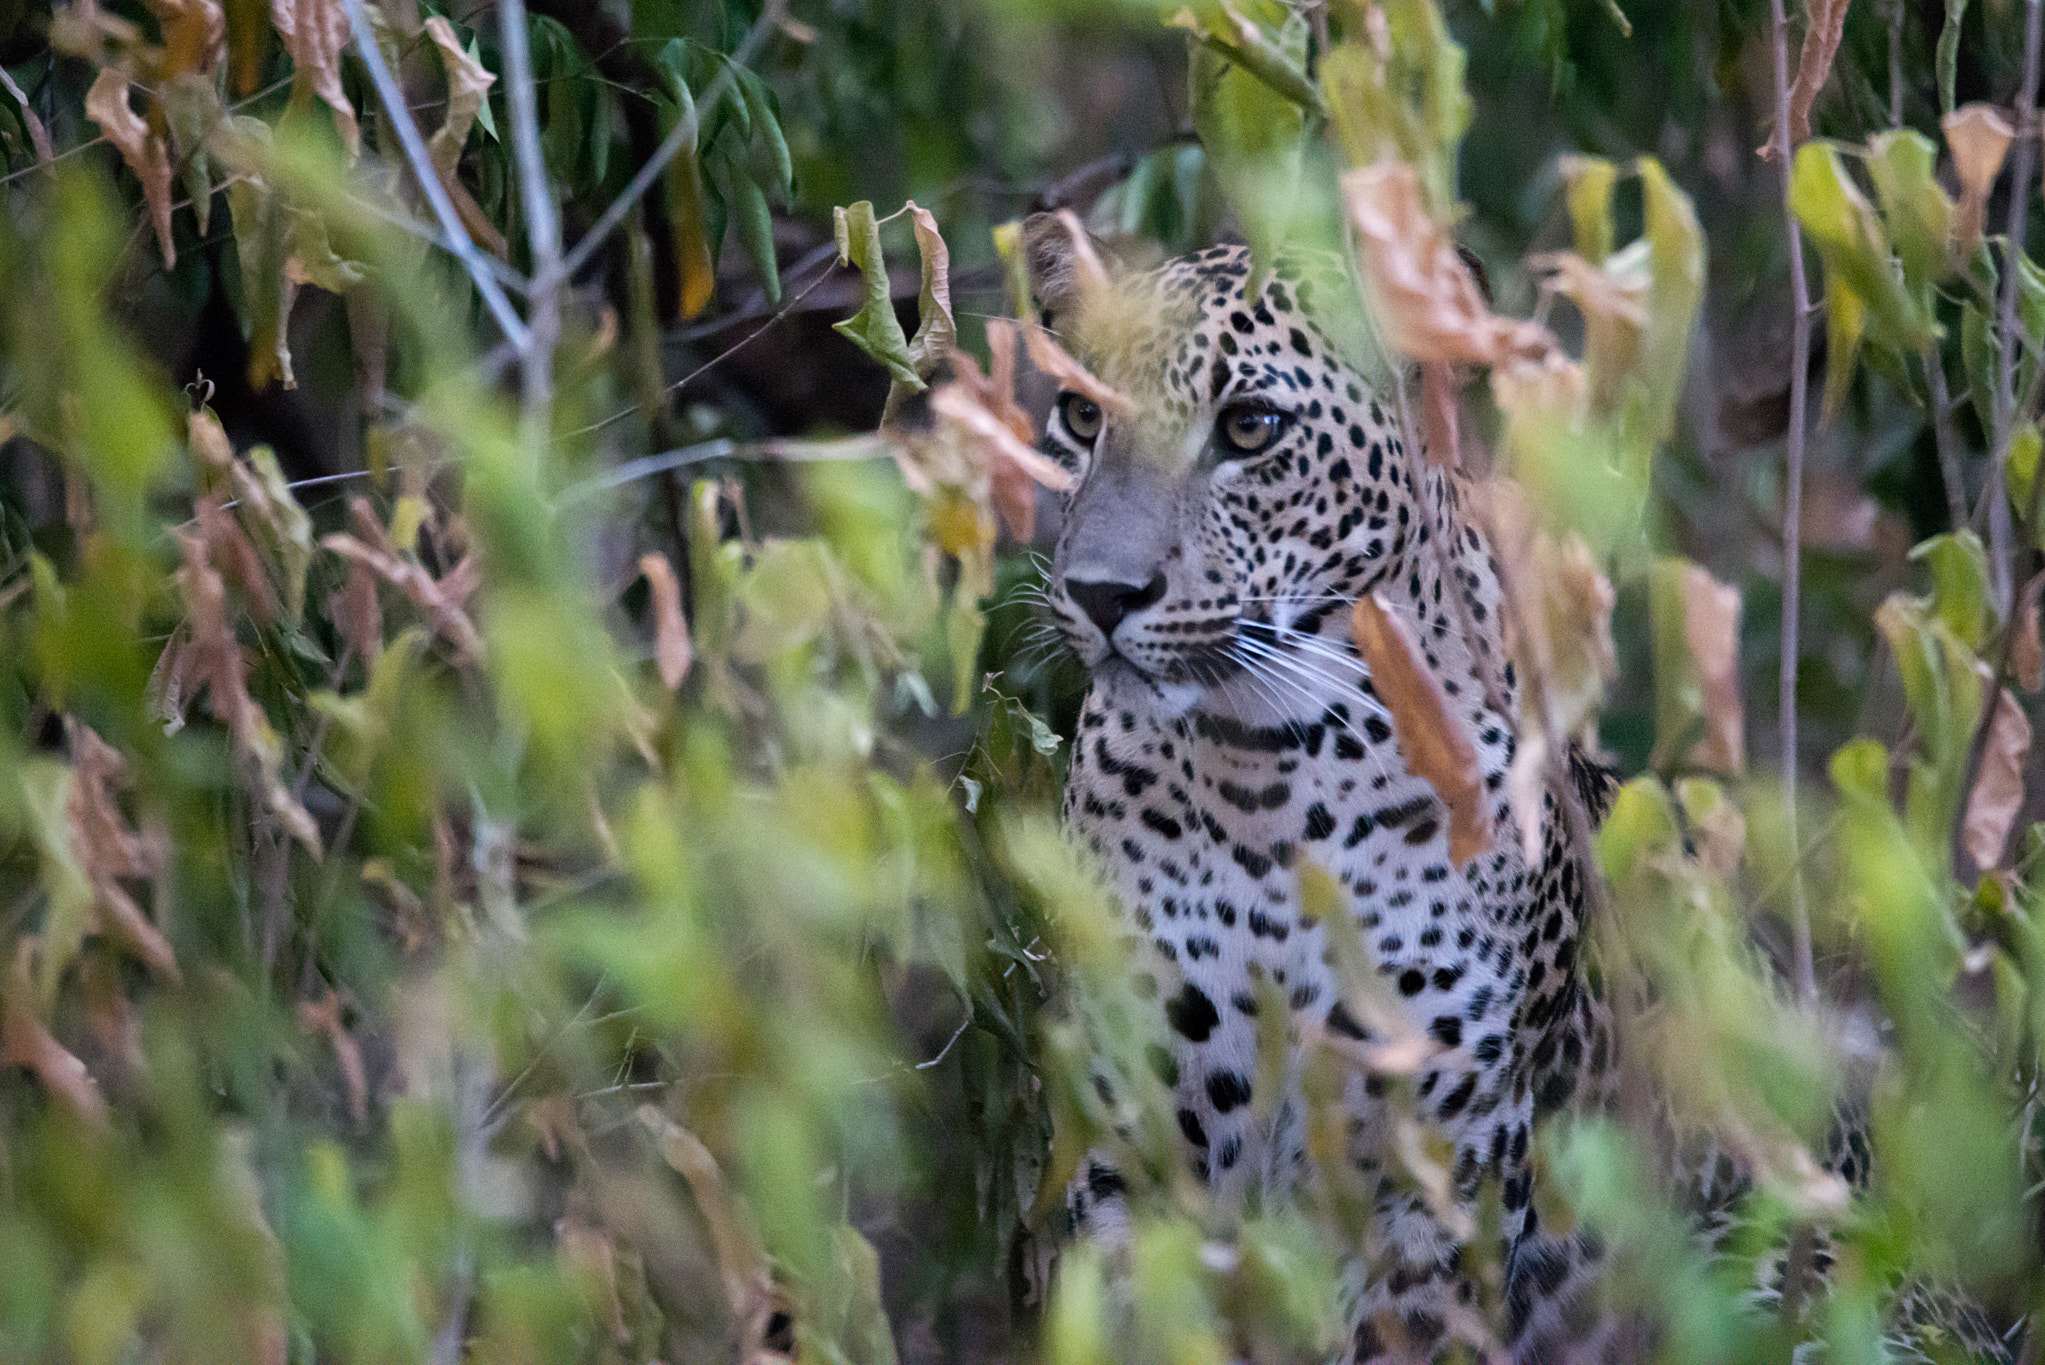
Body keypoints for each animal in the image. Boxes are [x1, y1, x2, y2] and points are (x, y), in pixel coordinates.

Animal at [1020, 213, 1616, 1363]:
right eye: (1080, 415)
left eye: (1248, 428)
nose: (1102, 594)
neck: (1268, 775)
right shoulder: (1134, 1140)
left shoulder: (1442, 1171)